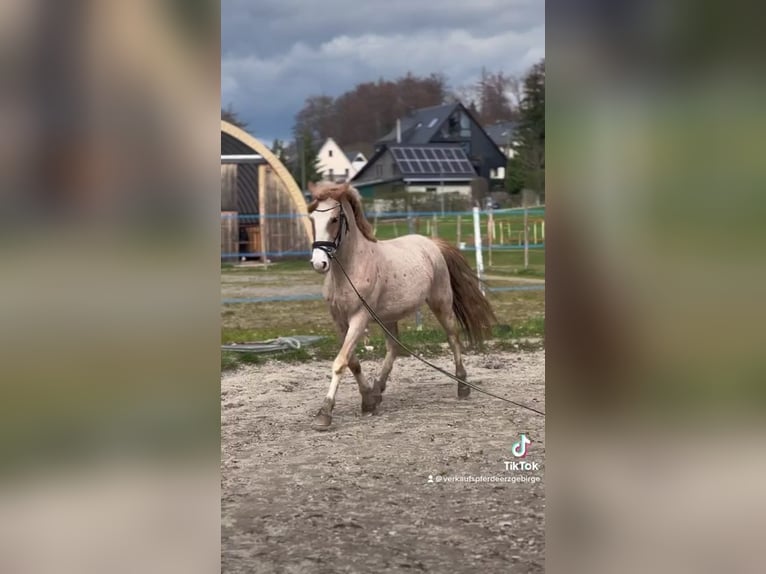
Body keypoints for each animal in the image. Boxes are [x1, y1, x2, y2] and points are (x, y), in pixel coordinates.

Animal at [308, 182, 498, 430]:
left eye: (333, 219)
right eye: (312, 218)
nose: (318, 263)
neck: (350, 268)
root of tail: (431, 243)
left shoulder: (359, 318)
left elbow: (341, 362)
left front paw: (324, 414)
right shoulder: (339, 321)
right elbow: (353, 362)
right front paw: (368, 400)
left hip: (441, 303)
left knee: (453, 338)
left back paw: (462, 386)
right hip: (389, 317)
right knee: (394, 348)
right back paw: (377, 391)